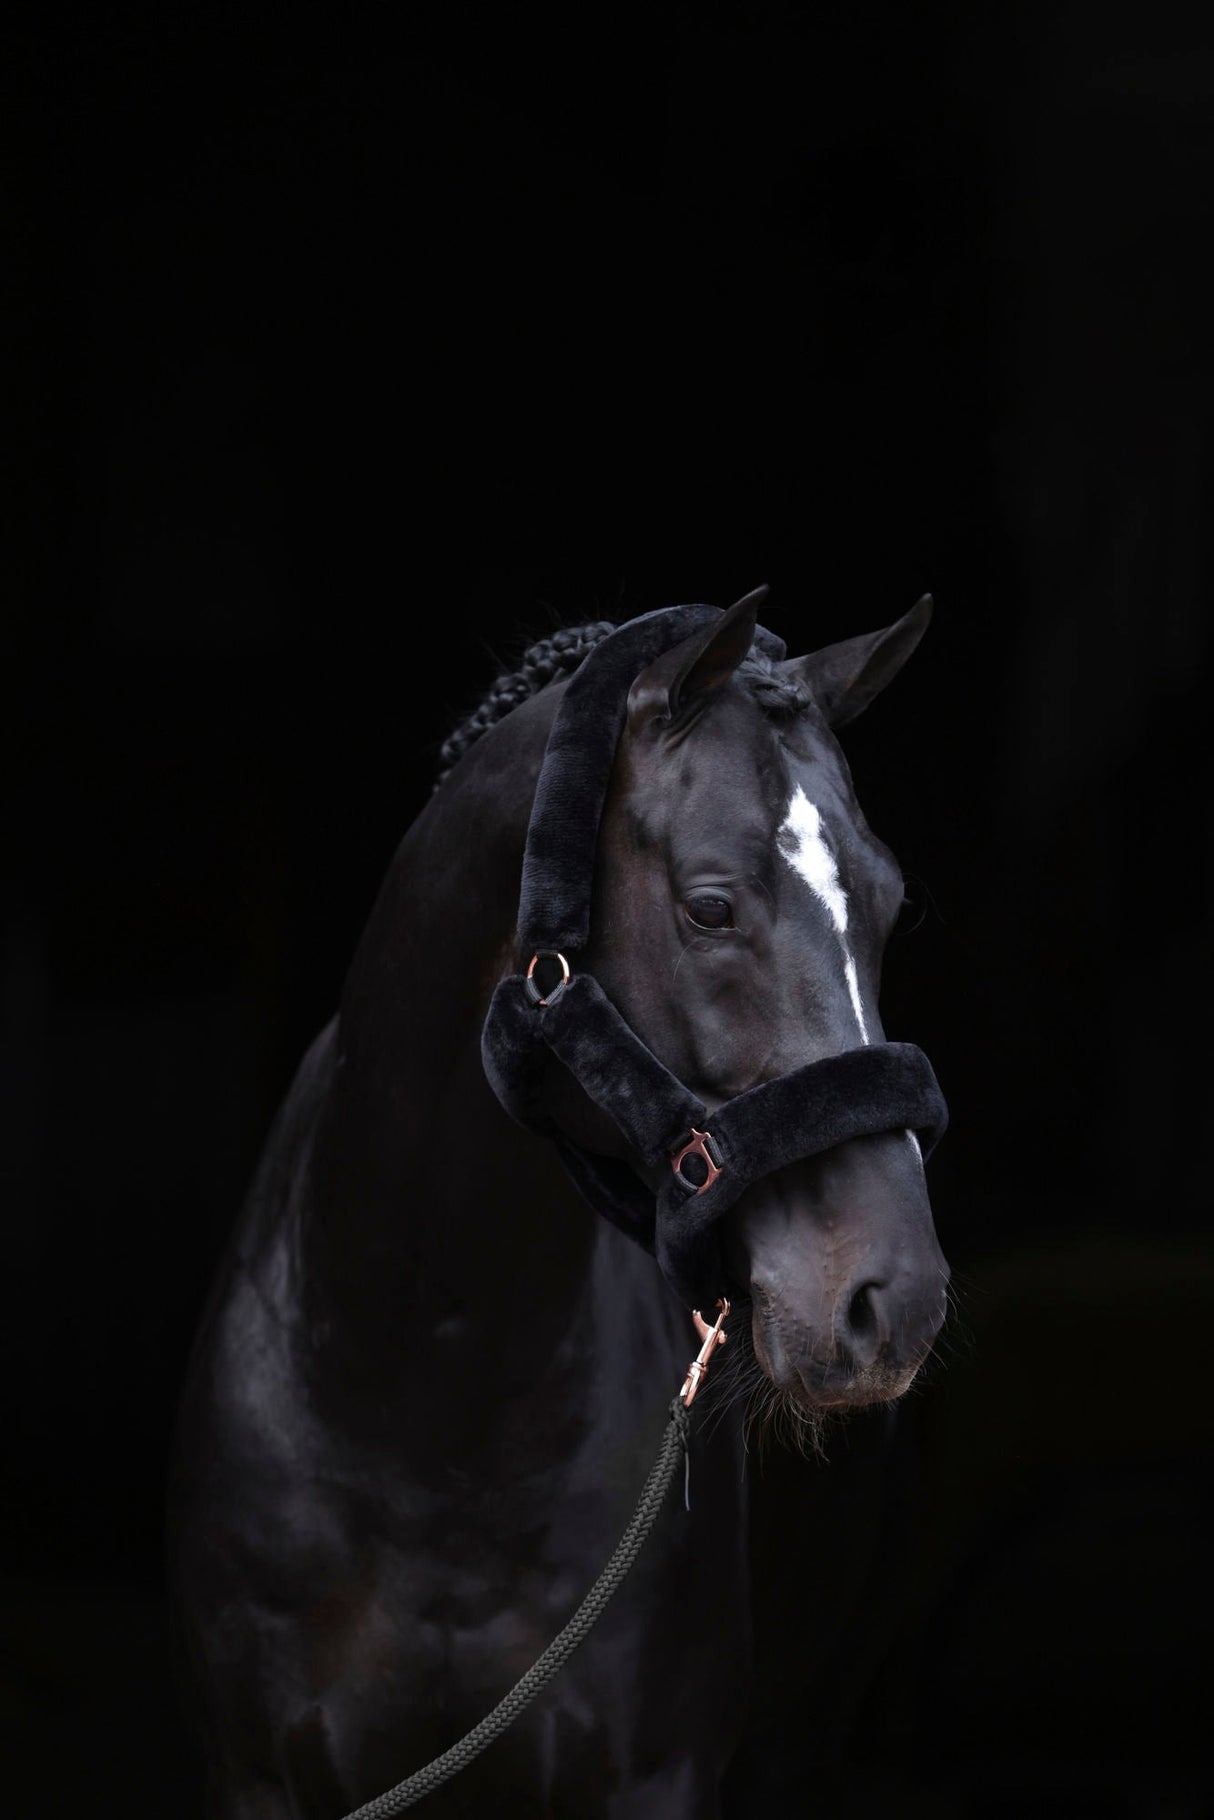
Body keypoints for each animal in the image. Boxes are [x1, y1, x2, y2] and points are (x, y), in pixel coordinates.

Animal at [167, 587, 950, 1819]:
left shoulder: (654, 1777)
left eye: (885, 902)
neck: (424, 1394)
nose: (894, 1298)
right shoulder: (256, 1774)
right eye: (710, 906)